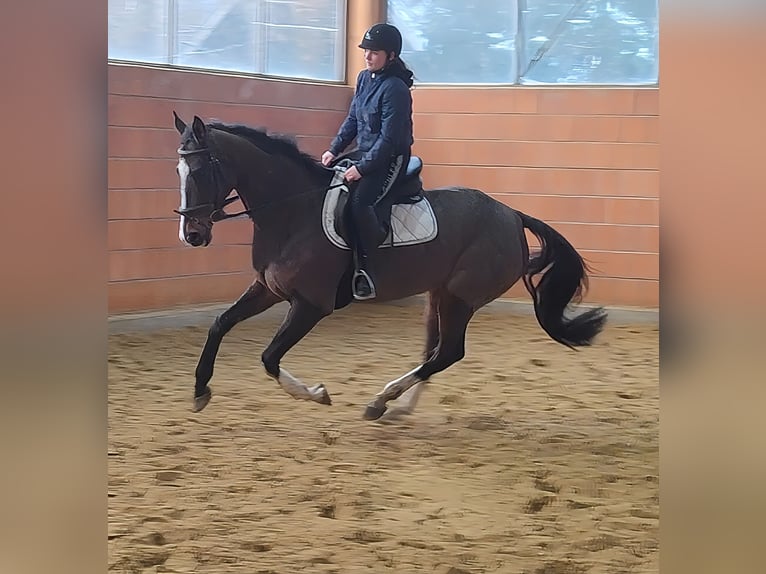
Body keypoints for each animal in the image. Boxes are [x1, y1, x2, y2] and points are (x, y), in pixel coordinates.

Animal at [171, 112, 607, 421]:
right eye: (178, 170)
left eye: (201, 170)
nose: (192, 234)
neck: (292, 213)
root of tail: (513, 216)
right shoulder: (267, 289)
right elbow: (220, 324)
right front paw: (199, 391)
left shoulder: (310, 305)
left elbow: (269, 357)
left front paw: (317, 394)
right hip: (439, 295)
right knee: (434, 352)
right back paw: (396, 406)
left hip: (461, 298)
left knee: (448, 353)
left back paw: (382, 399)